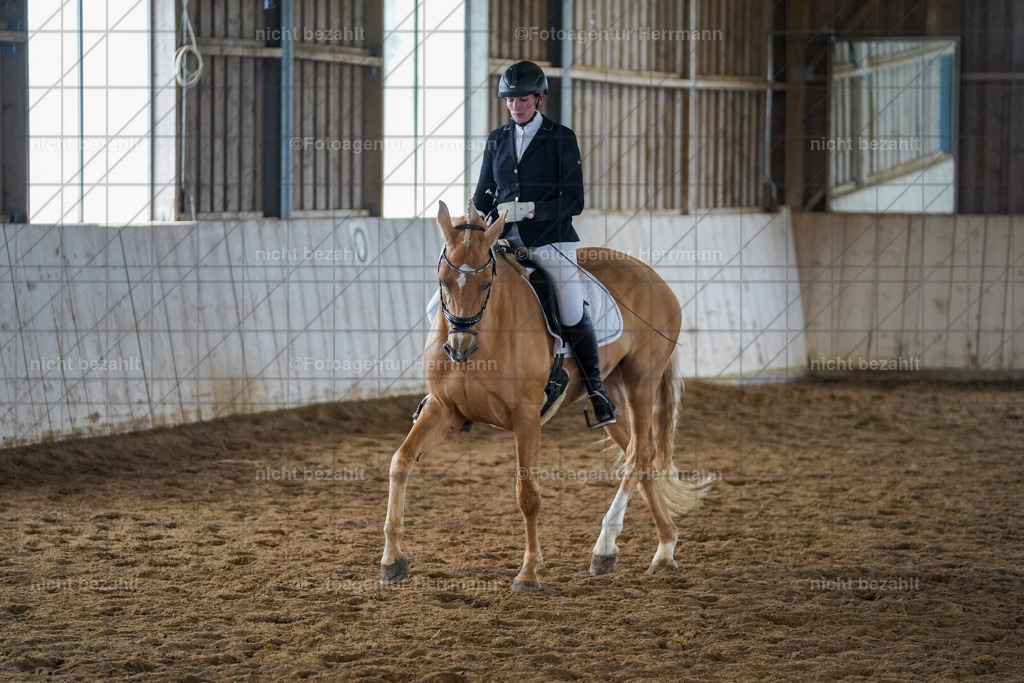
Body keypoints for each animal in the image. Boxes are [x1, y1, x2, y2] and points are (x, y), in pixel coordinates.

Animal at [380, 200, 715, 591]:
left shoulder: (526, 416)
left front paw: (528, 573)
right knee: (641, 453)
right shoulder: (445, 409)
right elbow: (400, 462)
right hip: (613, 393)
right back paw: (662, 548)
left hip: (641, 381)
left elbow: (528, 495)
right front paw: (392, 560)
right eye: (443, 281)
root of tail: (655, 278)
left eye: (487, 282)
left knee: (638, 455)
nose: (458, 349)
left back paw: (605, 546)